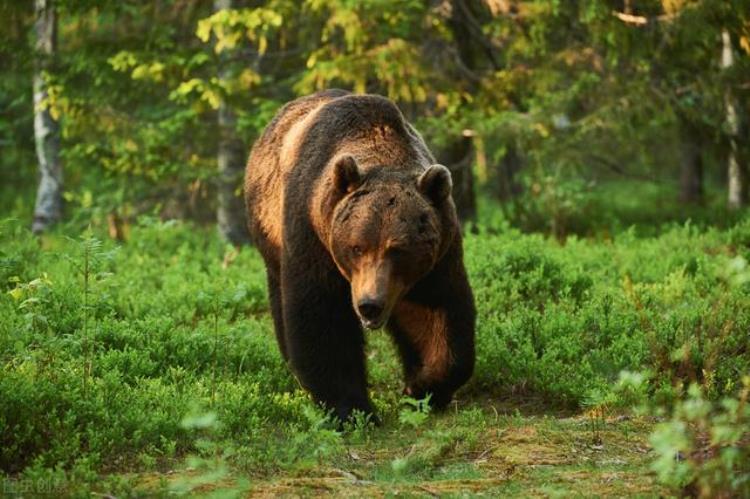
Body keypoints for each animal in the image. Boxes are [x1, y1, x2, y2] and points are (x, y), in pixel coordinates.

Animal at [245, 90, 476, 422]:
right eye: (357, 247)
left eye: (398, 249)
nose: (369, 304)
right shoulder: (312, 236)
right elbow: (323, 319)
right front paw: (351, 409)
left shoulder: (438, 255)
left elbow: (437, 313)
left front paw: (423, 386)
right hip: (269, 229)